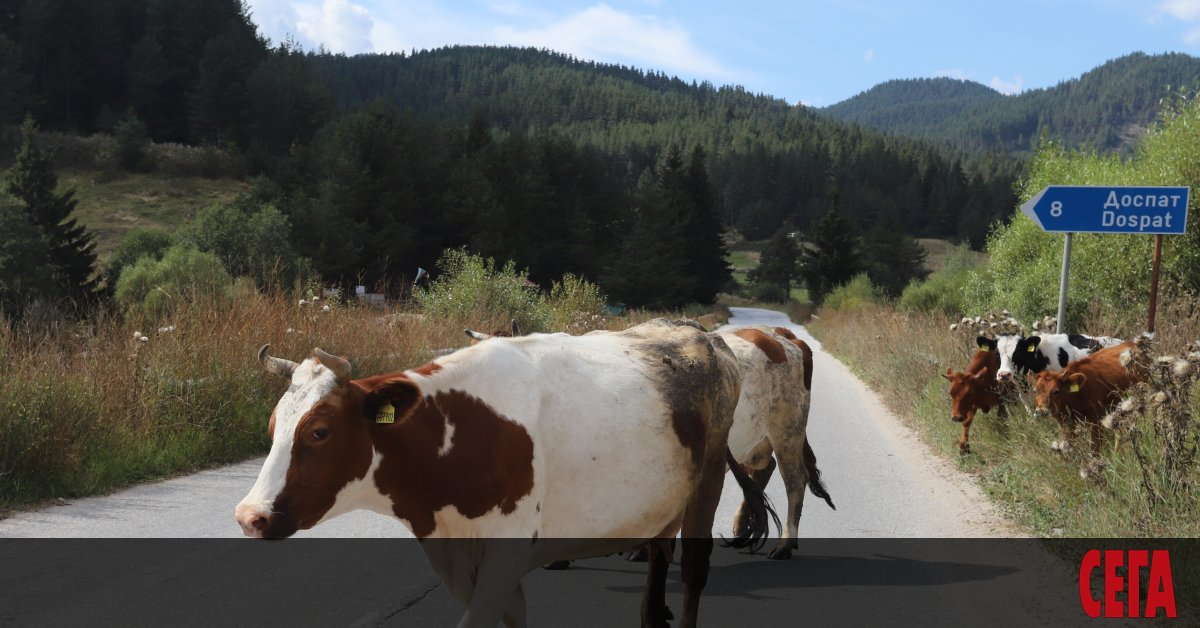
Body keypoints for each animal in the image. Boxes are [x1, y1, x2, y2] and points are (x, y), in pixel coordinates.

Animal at [236, 319, 777, 628]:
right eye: (273, 426)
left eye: (320, 431)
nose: (249, 517)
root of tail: (700, 335)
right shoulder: (455, 556)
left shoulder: (505, 553)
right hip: (663, 496)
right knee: (659, 556)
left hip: (708, 478)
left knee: (693, 570)